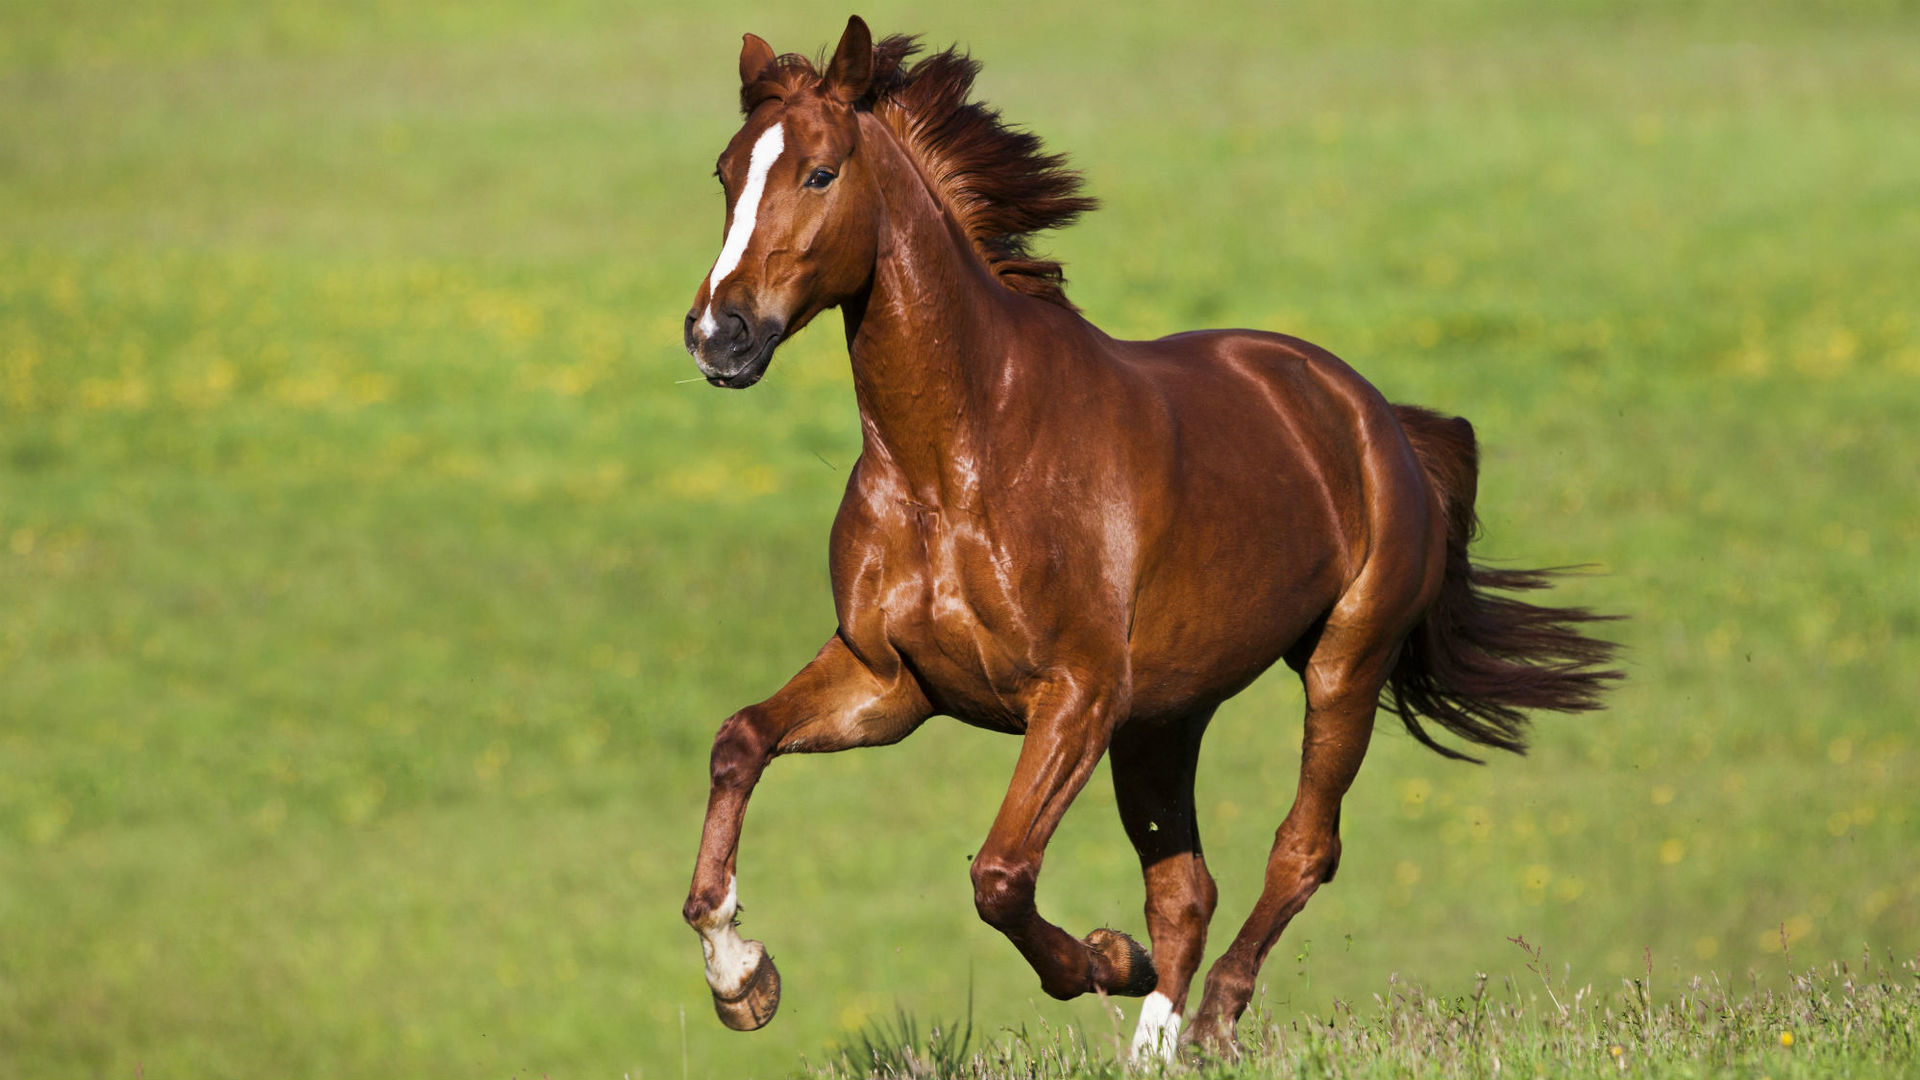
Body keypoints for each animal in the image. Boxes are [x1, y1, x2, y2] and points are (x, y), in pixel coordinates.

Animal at [683, 16, 1612, 1053]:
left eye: (819, 172)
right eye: (725, 171)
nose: (719, 335)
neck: (957, 462)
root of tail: (1379, 421)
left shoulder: (1077, 695)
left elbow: (1000, 877)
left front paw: (1101, 959)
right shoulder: (889, 683)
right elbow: (740, 741)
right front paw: (741, 977)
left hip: (1341, 666)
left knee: (1301, 850)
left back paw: (1205, 1022)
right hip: (1166, 718)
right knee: (1185, 889)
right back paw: (1157, 1040)